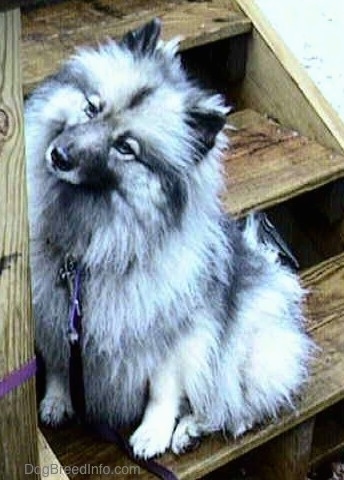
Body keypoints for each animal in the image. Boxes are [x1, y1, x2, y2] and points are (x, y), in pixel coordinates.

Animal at [25, 18, 314, 460]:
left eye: (126, 147)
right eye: (92, 107)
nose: (59, 156)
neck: (88, 241)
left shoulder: (176, 333)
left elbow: (163, 388)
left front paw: (153, 432)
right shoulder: (55, 315)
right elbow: (59, 364)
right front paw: (58, 399)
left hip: (247, 352)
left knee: (234, 404)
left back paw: (194, 427)